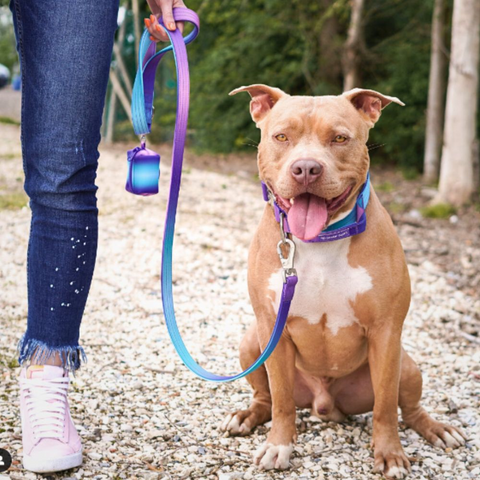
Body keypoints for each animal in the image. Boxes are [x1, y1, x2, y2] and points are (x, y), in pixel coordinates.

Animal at [220, 85, 464, 476]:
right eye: (282, 137)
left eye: (339, 138)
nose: (306, 168)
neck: (321, 239)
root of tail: (324, 404)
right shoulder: (273, 329)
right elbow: (282, 400)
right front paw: (278, 446)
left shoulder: (386, 332)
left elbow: (385, 406)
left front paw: (390, 453)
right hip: (252, 343)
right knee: (265, 397)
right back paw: (247, 416)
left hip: (407, 365)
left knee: (408, 409)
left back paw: (436, 429)